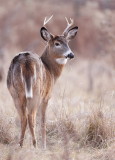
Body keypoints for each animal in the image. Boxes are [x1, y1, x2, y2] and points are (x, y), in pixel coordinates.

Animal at [7, 16, 78, 149]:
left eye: (67, 43)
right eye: (57, 43)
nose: (71, 54)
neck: (51, 71)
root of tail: (26, 61)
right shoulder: (46, 97)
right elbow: (43, 121)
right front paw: (44, 145)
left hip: (15, 92)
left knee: (23, 117)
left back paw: (20, 144)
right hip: (36, 91)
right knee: (30, 117)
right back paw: (35, 145)